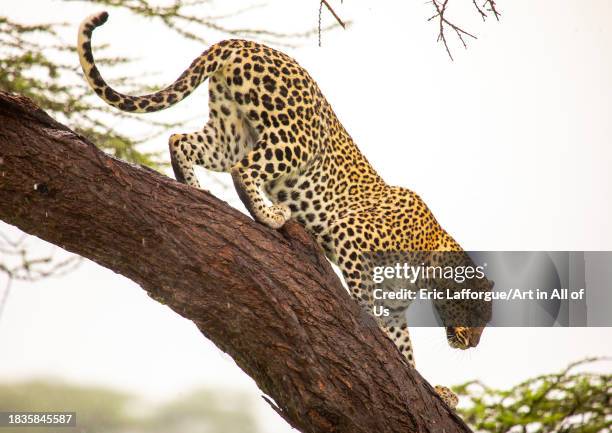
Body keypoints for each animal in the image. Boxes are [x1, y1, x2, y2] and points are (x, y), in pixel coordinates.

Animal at [76, 11, 492, 408]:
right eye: (476, 312)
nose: (472, 345)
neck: (428, 261)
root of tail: (246, 42)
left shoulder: (395, 304)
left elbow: (405, 350)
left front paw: (437, 391)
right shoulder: (353, 241)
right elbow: (368, 306)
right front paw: (374, 331)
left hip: (231, 131)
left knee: (181, 140)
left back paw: (196, 191)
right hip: (293, 139)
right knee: (242, 168)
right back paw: (269, 213)